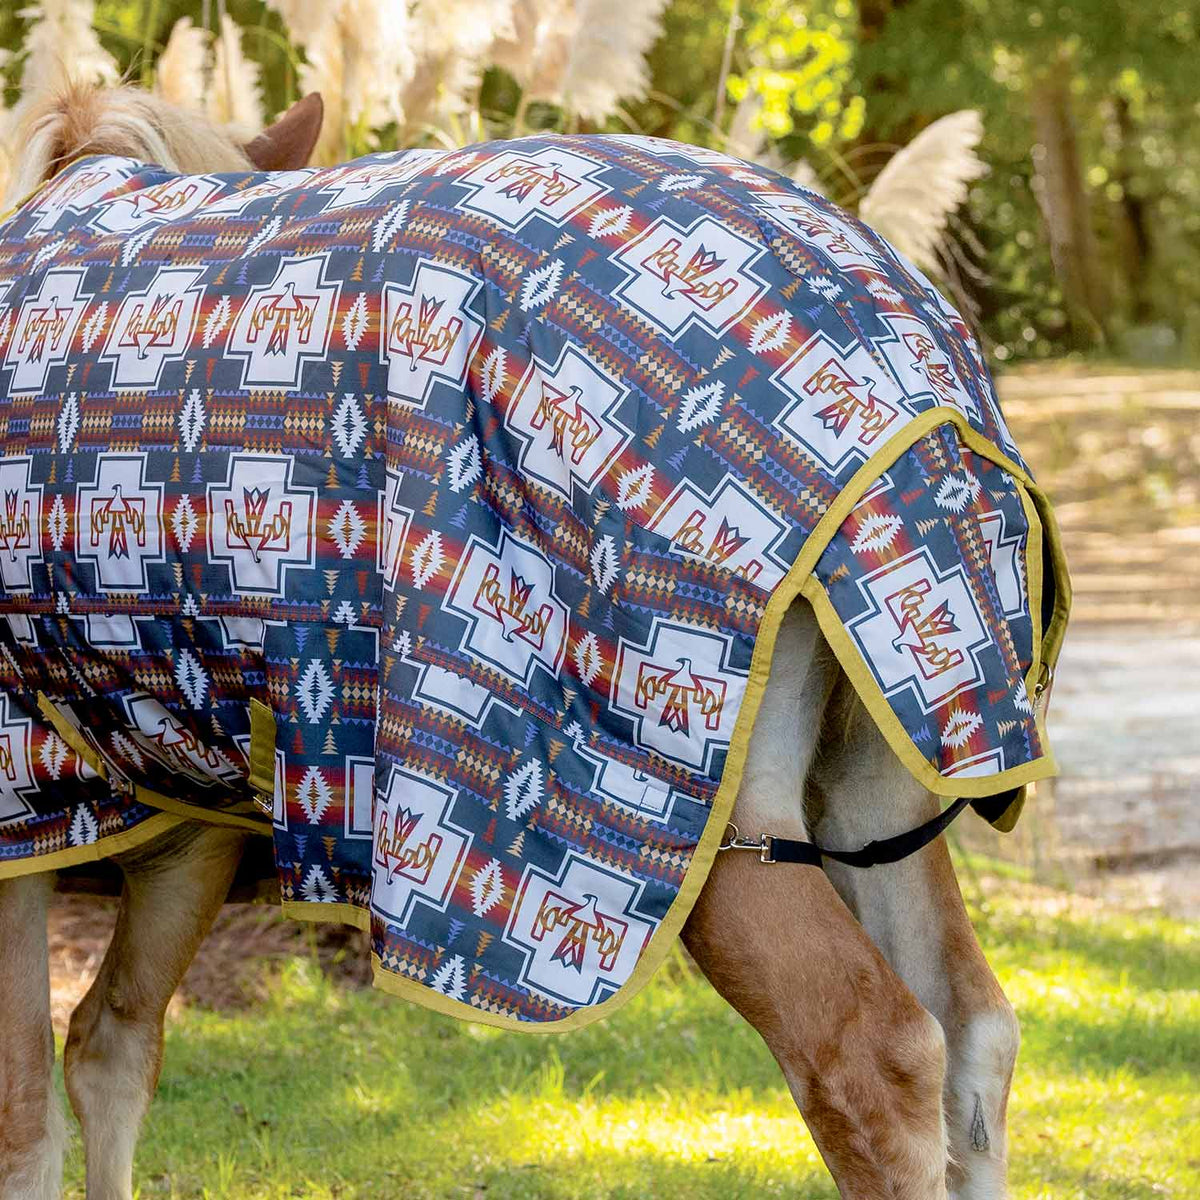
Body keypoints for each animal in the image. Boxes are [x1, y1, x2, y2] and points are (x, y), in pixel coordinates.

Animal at [0, 82, 1029, 1200]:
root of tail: (904, 369)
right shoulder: (180, 815)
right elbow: (109, 1057)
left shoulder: (27, 821)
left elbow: (26, 1118)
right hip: (887, 762)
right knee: (972, 1035)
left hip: (693, 820)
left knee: (876, 1057)